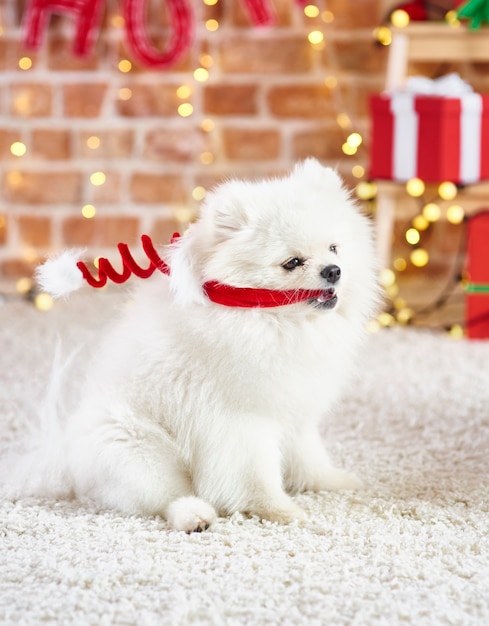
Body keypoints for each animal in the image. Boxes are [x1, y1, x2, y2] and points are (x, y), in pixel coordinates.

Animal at [1, 157, 378, 532]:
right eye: (292, 263)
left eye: (334, 247)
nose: (333, 270)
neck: (271, 321)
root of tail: (65, 457)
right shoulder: (241, 421)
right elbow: (255, 478)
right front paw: (280, 511)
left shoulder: (294, 409)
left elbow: (309, 456)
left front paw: (330, 482)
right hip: (137, 449)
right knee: (166, 497)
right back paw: (194, 516)